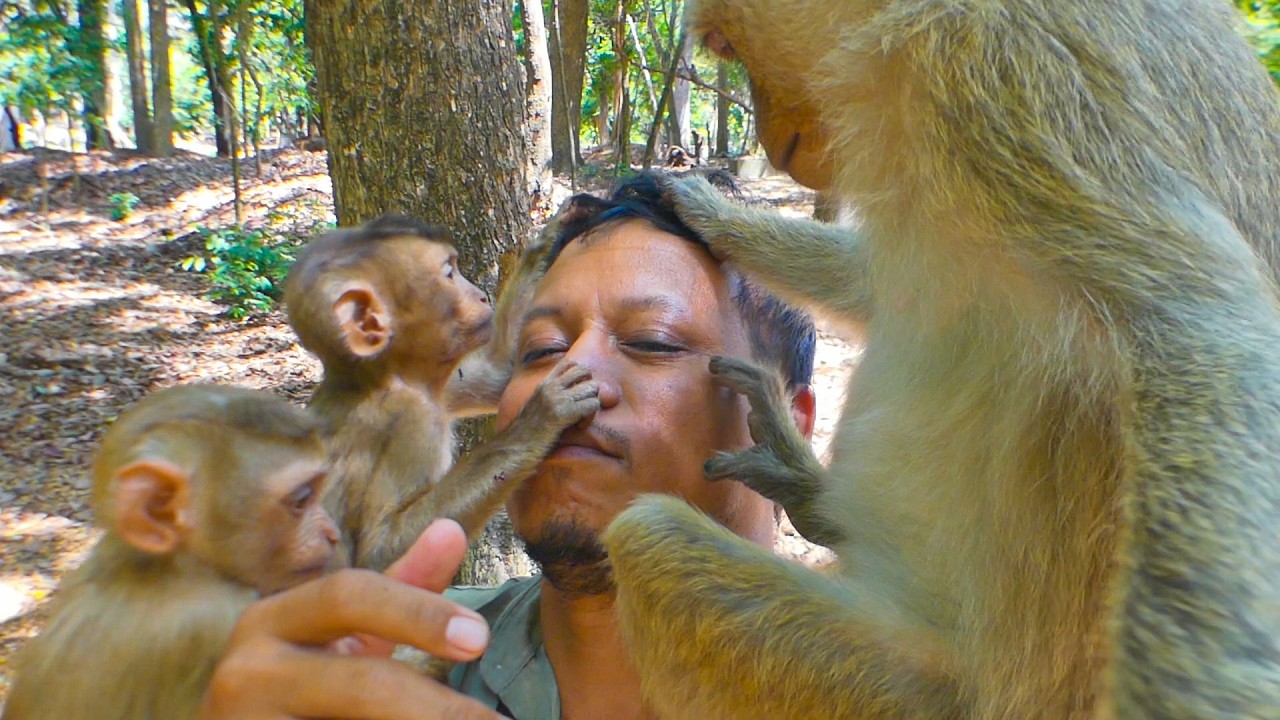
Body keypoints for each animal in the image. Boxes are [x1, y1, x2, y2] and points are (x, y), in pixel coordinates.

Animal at [283, 213, 600, 573]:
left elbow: (498, 370)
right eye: (450, 274)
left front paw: (548, 238)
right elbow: (376, 555)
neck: (382, 377)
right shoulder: (412, 420)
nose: (481, 296)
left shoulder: (440, 383)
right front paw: (542, 418)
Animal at [598, 1, 1280, 718]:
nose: (772, 137)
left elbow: (1201, 332)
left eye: (729, 46)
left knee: (647, 538)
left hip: (918, 697)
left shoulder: (996, 74)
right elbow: (882, 283)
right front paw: (704, 210)